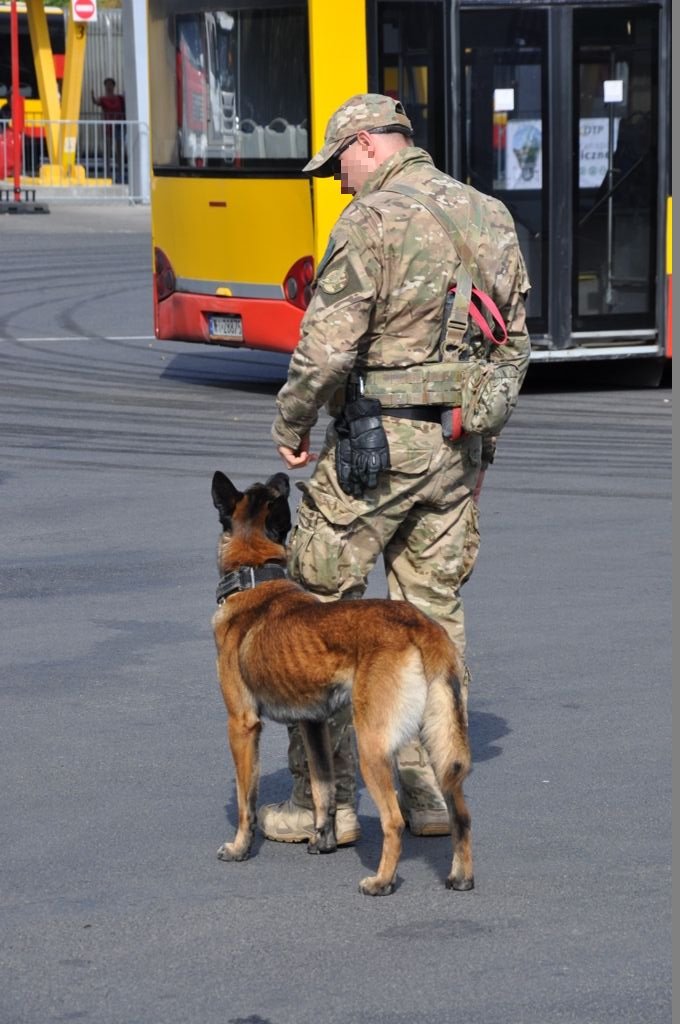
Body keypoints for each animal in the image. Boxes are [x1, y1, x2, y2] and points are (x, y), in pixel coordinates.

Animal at [210, 471, 473, 897]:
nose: (285, 473)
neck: (256, 574)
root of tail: (418, 624)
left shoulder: (242, 725)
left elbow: (245, 799)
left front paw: (239, 848)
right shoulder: (314, 725)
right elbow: (324, 789)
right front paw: (323, 840)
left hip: (372, 746)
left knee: (394, 821)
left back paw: (381, 881)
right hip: (440, 743)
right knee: (460, 814)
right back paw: (461, 876)